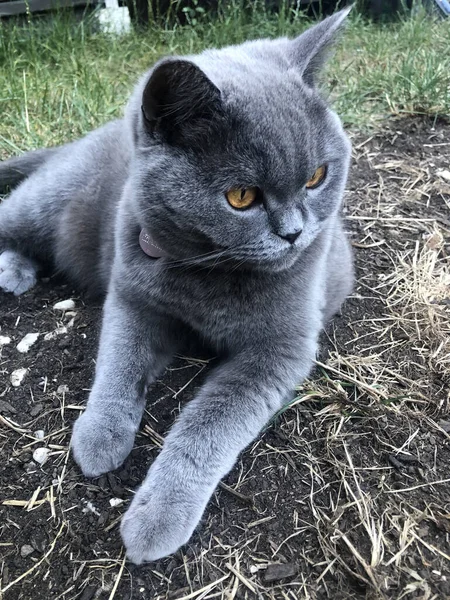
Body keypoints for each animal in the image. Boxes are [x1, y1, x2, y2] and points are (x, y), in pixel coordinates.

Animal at [0, 8, 354, 564]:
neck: (210, 273)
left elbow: (210, 424)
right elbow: (119, 361)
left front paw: (157, 514)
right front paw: (100, 436)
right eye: (241, 196)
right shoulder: (132, 297)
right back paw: (13, 270)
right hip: (44, 203)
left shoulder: (279, 350)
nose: (294, 234)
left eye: (317, 175)